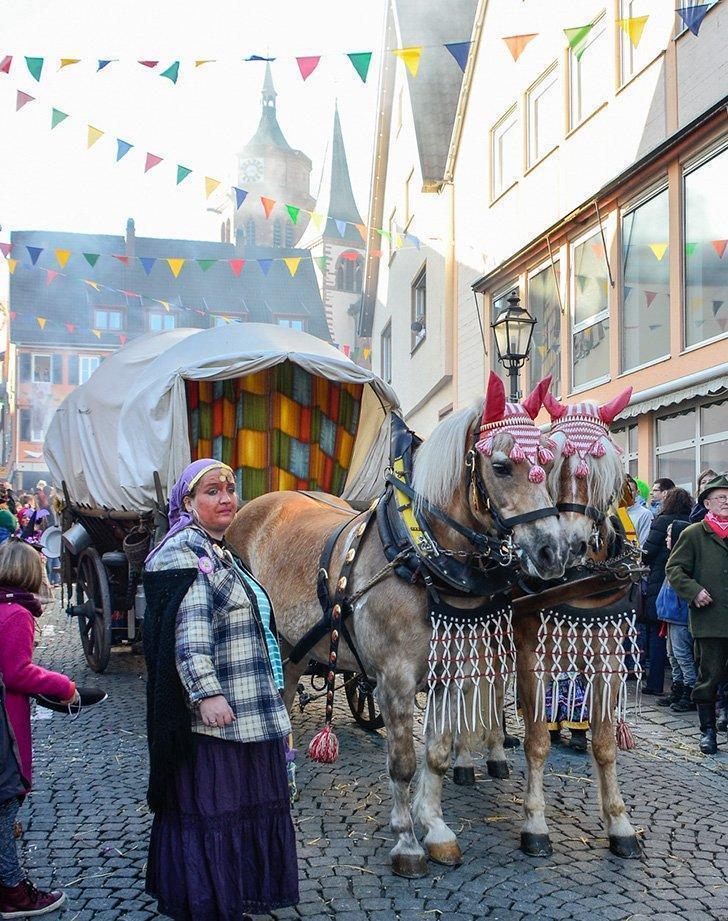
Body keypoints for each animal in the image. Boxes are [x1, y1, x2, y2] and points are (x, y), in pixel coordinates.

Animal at [228, 374, 568, 876]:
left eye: (548, 461)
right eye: (502, 466)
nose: (553, 552)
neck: (419, 557)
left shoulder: (450, 673)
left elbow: (437, 753)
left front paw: (437, 830)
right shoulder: (394, 679)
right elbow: (403, 763)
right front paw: (407, 841)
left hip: (293, 645)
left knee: (285, 695)